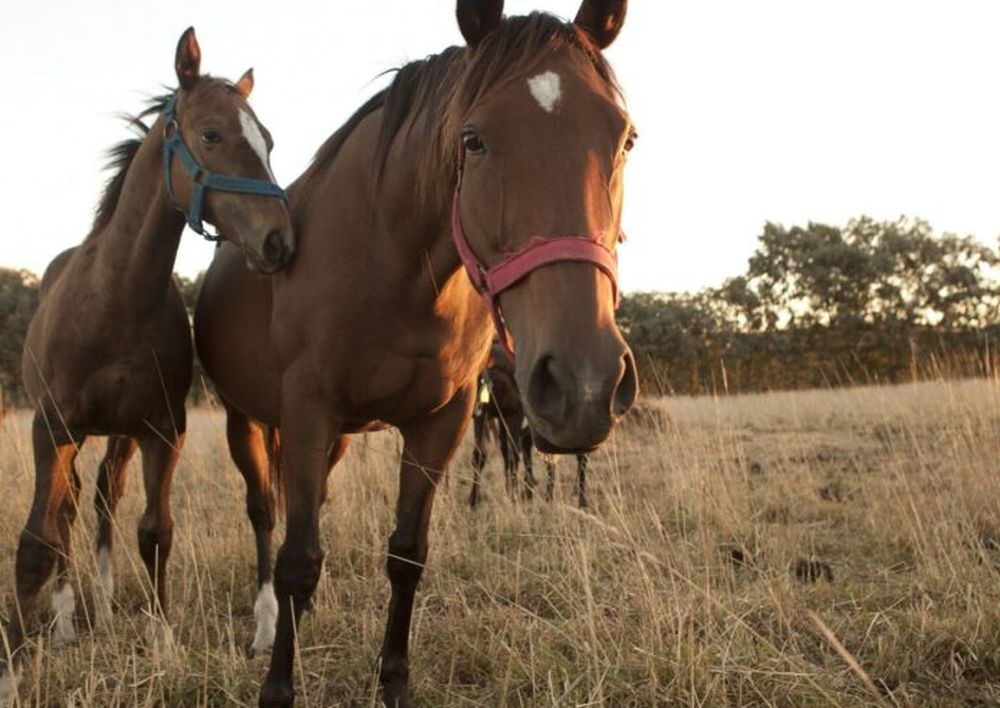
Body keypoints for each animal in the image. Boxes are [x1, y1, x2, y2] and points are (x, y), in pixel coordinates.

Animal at [2, 28, 293, 696]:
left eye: (267, 140)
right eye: (211, 134)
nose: (280, 241)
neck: (116, 298)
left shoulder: (163, 429)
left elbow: (155, 532)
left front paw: (161, 642)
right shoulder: (49, 428)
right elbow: (37, 541)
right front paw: (12, 670)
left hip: (121, 435)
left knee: (106, 496)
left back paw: (105, 605)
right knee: (70, 510)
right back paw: (67, 620)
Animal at [470, 340, 591, 508]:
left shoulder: (515, 414)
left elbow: (514, 453)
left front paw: (514, 497)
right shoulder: (485, 416)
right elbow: (480, 454)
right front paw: (473, 500)